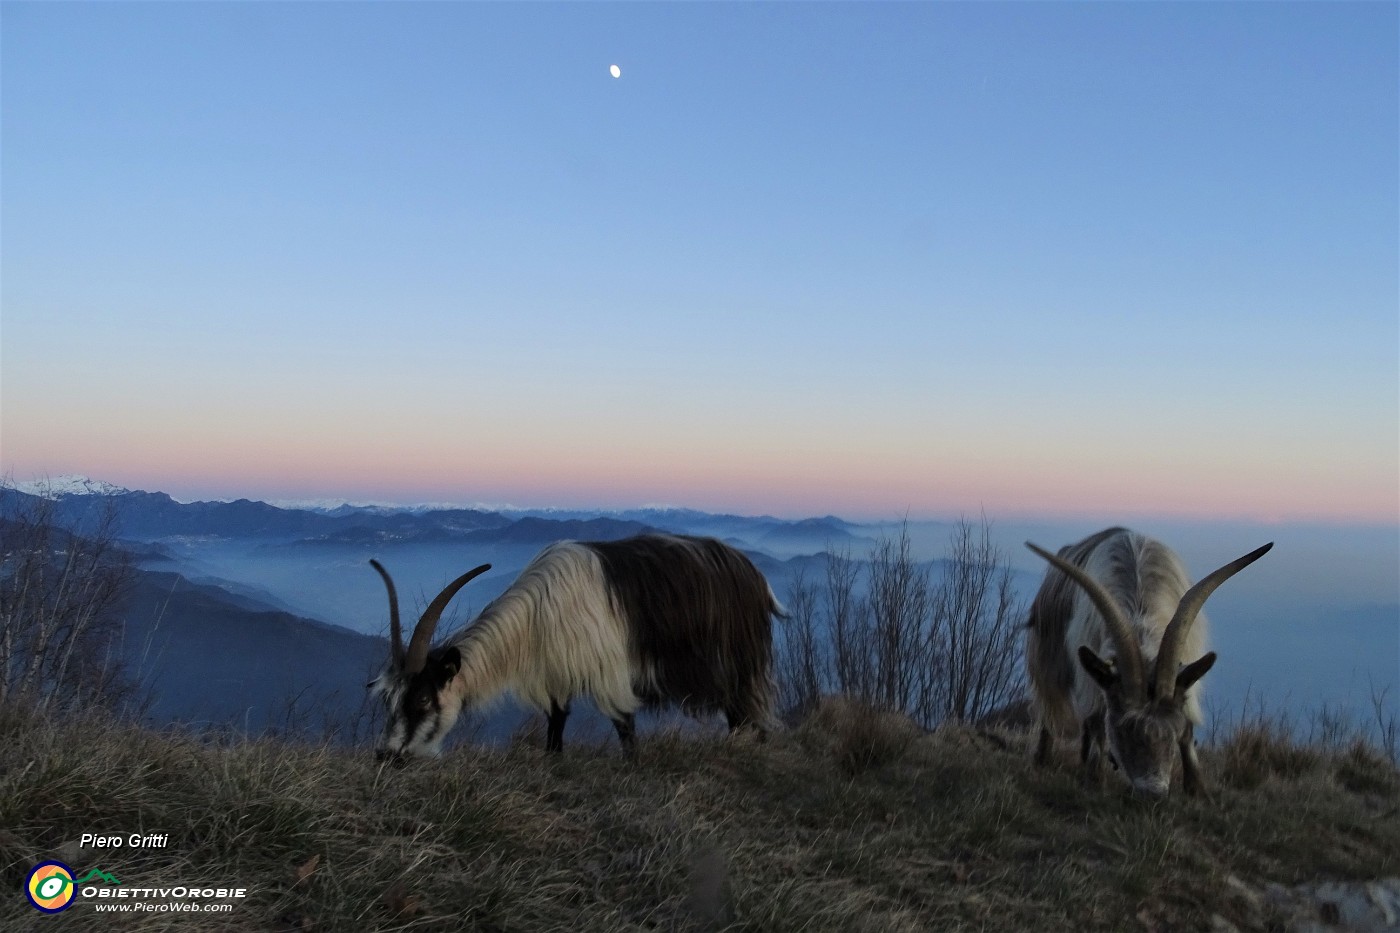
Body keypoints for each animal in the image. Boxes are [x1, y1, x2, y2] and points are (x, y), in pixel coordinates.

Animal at [366, 535, 784, 762]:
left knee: (747, 710)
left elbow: (624, 726)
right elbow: (556, 721)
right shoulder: (555, 674)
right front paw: (554, 760)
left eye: (422, 699)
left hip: (740, 662)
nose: (386, 754)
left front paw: (632, 767)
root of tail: (755, 575)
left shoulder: (609, 671)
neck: (539, 615)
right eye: (387, 699)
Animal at [1024, 526, 1276, 795]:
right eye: (1123, 730)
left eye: (1172, 730)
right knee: (1050, 704)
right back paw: (1043, 757)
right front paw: (1094, 780)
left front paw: (1197, 788)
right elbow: (1097, 720)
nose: (1153, 791)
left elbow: (1188, 727)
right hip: (1048, 655)